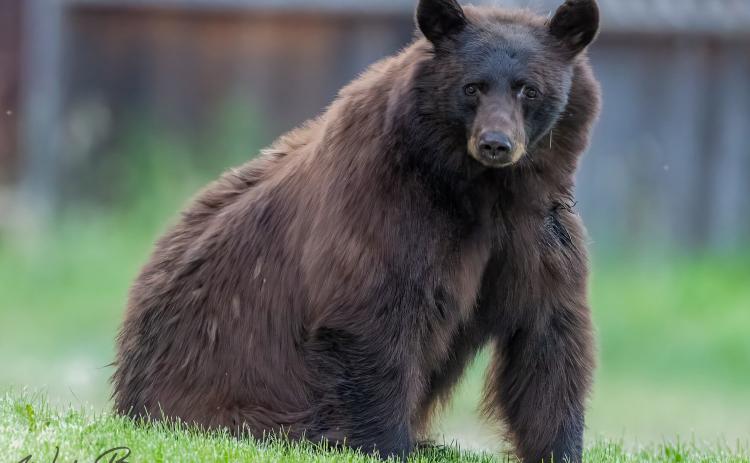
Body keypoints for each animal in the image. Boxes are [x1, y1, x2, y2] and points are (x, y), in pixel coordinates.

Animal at [112, 0, 601, 462]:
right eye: (472, 86)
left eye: (529, 89)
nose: (496, 144)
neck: (480, 192)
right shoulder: (390, 207)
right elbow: (375, 319)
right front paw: (387, 444)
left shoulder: (535, 230)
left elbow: (547, 335)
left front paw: (559, 447)